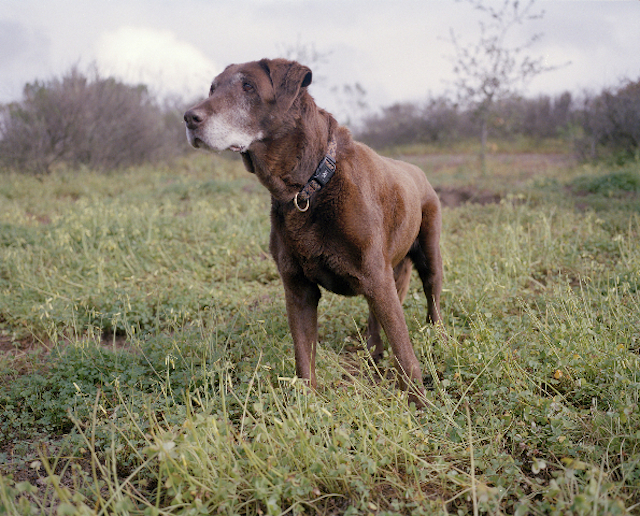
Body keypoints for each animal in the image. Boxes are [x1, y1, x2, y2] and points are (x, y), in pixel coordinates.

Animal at [185, 58, 442, 408]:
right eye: (212, 89)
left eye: (248, 86)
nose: (189, 118)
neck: (310, 184)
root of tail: (418, 171)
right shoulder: (298, 288)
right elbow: (303, 355)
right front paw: (307, 404)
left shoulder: (375, 276)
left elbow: (404, 348)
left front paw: (418, 402)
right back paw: (373, 356)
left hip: (428, 250)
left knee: (431, 293)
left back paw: (438, 337)